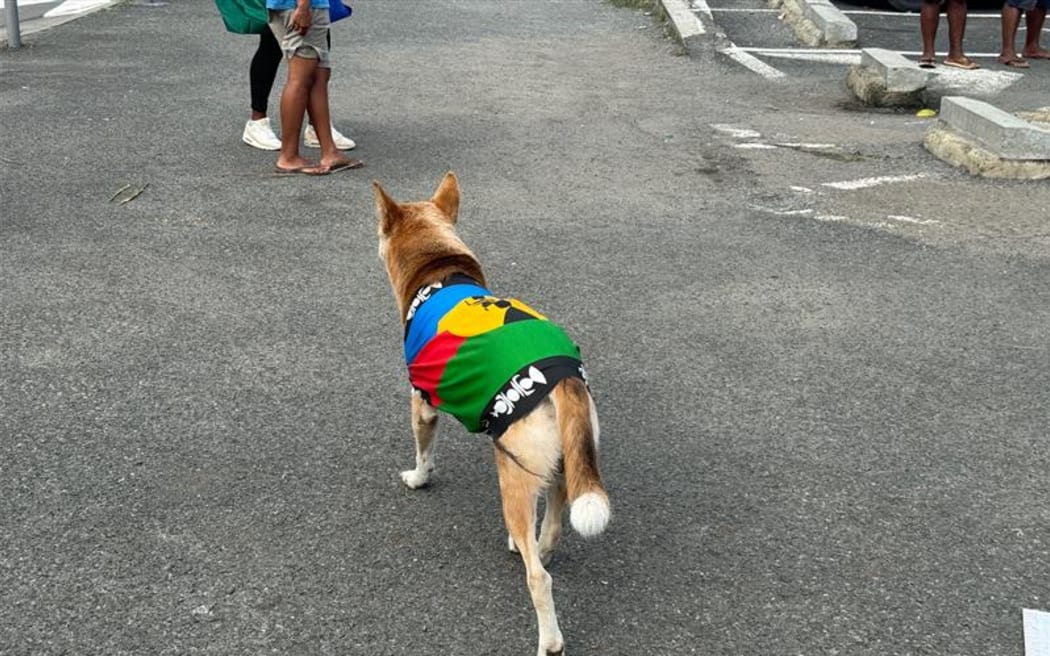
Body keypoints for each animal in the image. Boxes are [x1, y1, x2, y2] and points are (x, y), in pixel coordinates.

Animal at [373, 171, 613, 650]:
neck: (439, 270)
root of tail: (561, 376)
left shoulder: (422, 404)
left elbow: (423, 454)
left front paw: (418, 479)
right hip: (561, 461)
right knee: (552, 527)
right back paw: (534, 546)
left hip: (513, 475)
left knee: (539, 579)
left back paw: (549, 641)